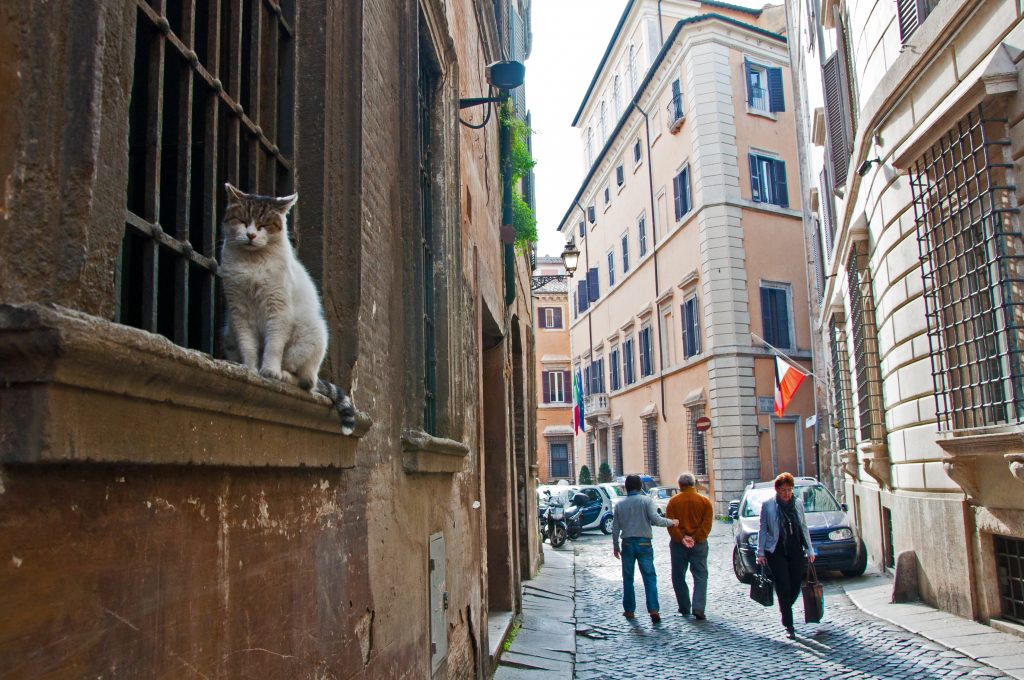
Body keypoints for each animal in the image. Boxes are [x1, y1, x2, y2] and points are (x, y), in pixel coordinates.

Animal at [219, 183, 356, 432]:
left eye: (264, 225)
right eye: (242, 220)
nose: (251, 235)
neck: (252, 263)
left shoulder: (278, 307)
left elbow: (274, 344)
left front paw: (269, 371)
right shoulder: (239, 311)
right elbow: (248, 345)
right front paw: (250, 370)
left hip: (308, 337)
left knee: (305, 382)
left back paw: (282, 375)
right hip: (228, 333)